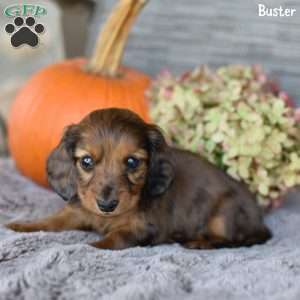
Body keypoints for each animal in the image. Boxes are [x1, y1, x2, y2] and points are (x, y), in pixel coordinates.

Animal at [7, 109, 270, 250]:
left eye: (132, 162)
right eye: (86, 161)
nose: (106, 205)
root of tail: (260, 221)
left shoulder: (142, 227)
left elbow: (114, 238)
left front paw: (91, 247)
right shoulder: (78, 210)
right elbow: (52, 220)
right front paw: (22, 226)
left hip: (225, 212)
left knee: (227, 239)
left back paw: (197, 242)